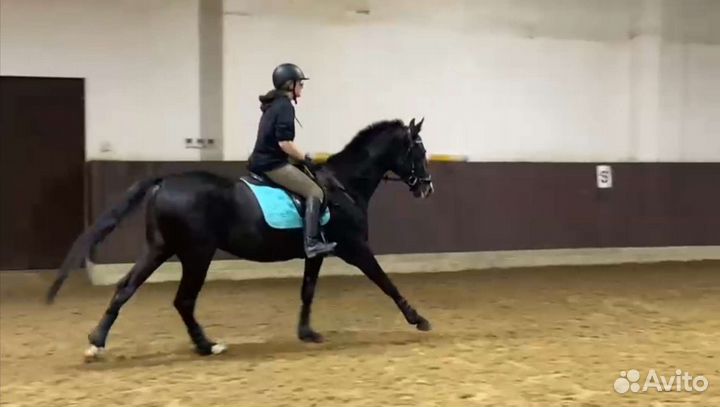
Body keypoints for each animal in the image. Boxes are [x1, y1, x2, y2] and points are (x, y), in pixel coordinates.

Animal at [46, 117, 434, 358]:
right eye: (418, 151)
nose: (427, 188)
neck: (344, 185)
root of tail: (164, 181)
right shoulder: (355, 248)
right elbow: (386, 282)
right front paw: (419, 319)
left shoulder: (317, 253)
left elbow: (307, 291)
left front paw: (307, 333)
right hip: (197, 253)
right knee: (183, 300)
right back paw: (207, 346)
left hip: (160, 248)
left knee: (126, 288)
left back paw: (97, 343)